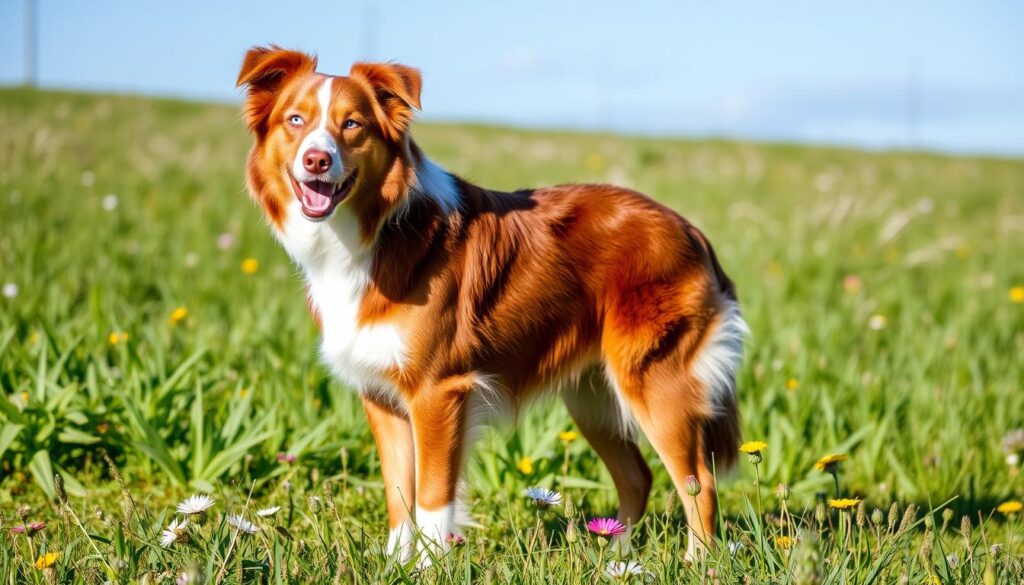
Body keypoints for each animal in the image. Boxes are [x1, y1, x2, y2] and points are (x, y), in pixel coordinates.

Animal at [236, 48, 749, 565]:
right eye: (295, 120)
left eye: (352, 124)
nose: (317, 159)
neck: (374, 232)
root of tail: (687, 228)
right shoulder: (381, 397)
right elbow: (399, 494)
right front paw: (397, 564)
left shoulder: (439, 392)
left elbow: (431, 497)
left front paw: (429, 567)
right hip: (592, 396)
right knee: (637, 476)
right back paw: (614, 557)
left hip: (653, 381)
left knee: (699, 484)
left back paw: (697, 564)